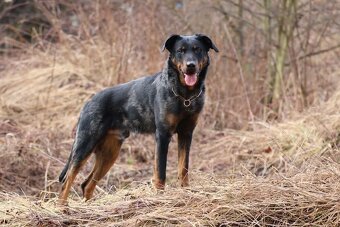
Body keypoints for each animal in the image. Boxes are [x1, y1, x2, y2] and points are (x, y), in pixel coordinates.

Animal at [57, 34, 219, 206]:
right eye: (180, 51)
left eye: (197, 49)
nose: (191, 66)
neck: (185, 96)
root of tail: (88, 102)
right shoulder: (163, 135)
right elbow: (160, 172)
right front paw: (160, 197)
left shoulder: (186, 133)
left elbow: (183, 168)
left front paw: (185, 191)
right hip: (85, 144)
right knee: (67, 180)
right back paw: (62, 208)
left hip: (110, 153)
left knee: (86, 184)